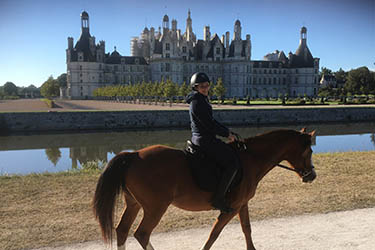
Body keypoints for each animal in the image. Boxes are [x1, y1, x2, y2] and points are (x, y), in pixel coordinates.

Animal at [93, 129, 318, 250]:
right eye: (309, 151)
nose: (312, 176)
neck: (250, 159)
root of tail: (134, 155)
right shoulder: (230, 209)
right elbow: (214, 234)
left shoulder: (242, 205)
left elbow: (247, 229)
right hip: (155, 208)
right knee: (142, 234)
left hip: (134, 204)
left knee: (122, 231)